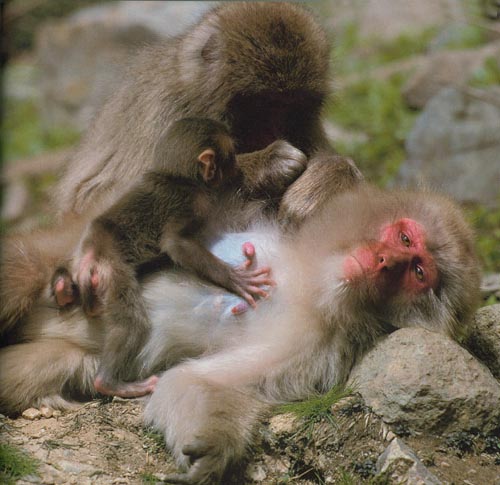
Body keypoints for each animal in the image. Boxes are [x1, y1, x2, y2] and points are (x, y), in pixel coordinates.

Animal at [0, 185, 480, 484]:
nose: (384, 261)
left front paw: (212, 453)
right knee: (29, 265)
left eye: (417, 272)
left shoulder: (314, 343)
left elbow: (194, 380)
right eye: (404, 238)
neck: (308, 282)